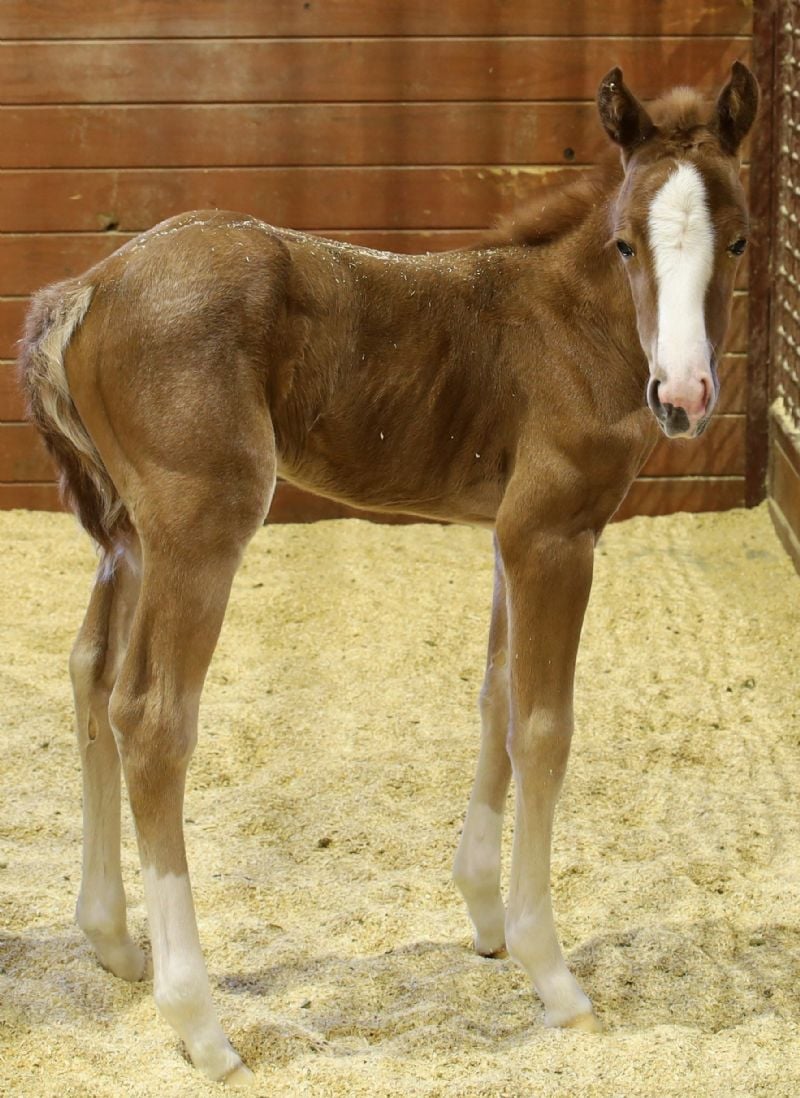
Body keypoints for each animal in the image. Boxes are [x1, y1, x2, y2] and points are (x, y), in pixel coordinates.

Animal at [18, 63, 758, 1085]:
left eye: (740, 238)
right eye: (623, 243)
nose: (683, 395)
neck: (565, 326)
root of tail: (90, 284)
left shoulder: (506, 535)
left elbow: (494, 695)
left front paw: (486, 917)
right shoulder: (554, 533)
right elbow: (543, 729)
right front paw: (552, 974)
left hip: (128, 533)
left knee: (90, 674)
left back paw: (113, 942)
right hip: (201, 523)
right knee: (153, 718)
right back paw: (200, 1023)